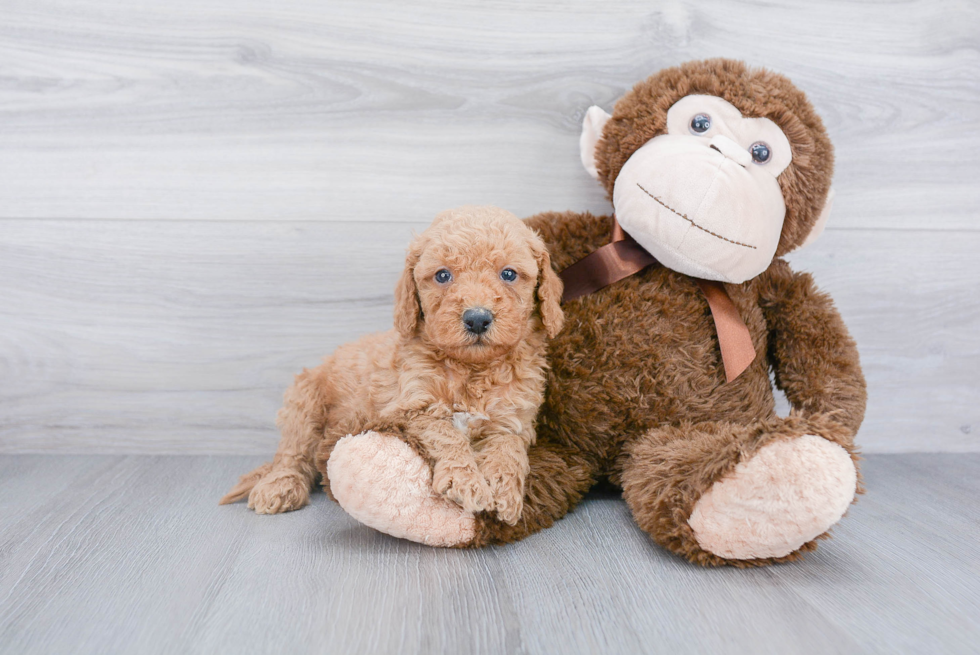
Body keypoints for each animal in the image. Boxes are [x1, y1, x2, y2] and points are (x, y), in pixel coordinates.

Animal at [218, 208, 564, 524]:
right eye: (442, 275)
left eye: (508, 274)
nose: (477, 318)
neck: (472, 369)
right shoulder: (412, 408)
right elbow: (447, 433)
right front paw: (466, 481)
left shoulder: (513, 418)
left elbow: (508, 448)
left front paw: (504, 491)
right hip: (304, 403)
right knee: (292, 453)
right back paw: (279, 486)